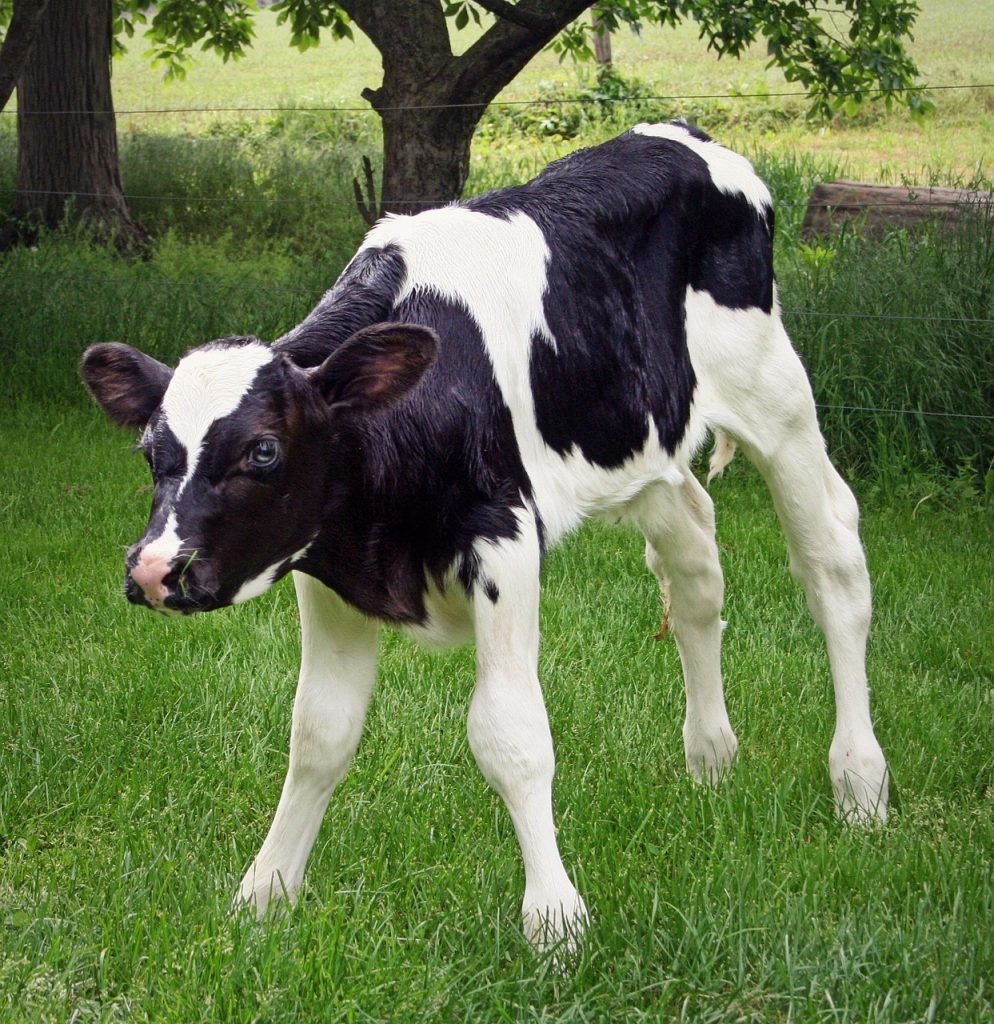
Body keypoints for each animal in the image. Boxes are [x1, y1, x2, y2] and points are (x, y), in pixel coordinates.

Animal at [81, 121, 889, 953]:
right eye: (149, 452)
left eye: (263, 451)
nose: (154, 571)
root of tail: (680, 133)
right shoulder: (325, 563)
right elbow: (319, 734)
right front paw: (266, 895)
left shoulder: (504, 539)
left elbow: (511, 735)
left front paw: (555, 920)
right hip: (646, 447)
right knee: (695, 564)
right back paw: (711, 762)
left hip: (777, 396)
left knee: (833, 564)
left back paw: (860, 785)